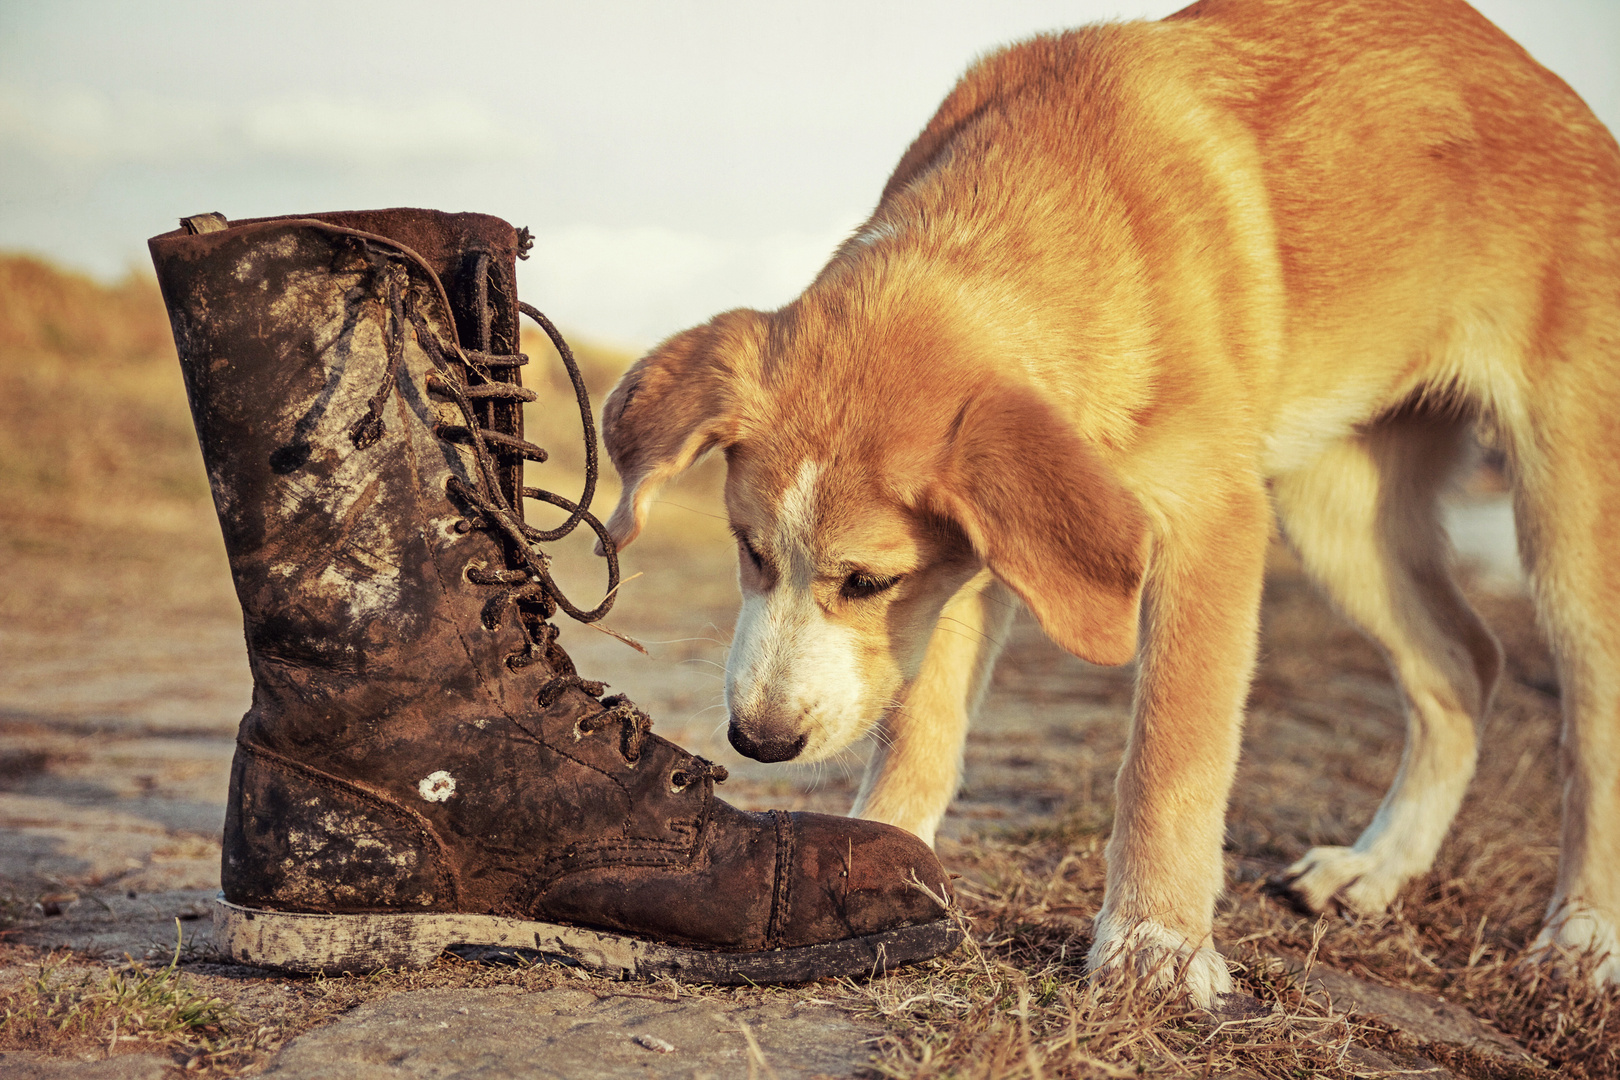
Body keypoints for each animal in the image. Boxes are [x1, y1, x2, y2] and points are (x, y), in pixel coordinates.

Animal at [599, 0, 1620, 1003]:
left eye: (866, 582)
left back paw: (1582, 935)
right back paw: (1377, 868)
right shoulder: (978, 561)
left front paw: (1155, 942)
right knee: (1464, 662)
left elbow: (1172, 753)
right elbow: (921, 726)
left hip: (1568, 504)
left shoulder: (1208, 525)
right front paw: (884, 860)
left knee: (1585, 703)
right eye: (750, 550)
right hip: (1341, 507)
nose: (758, 741)